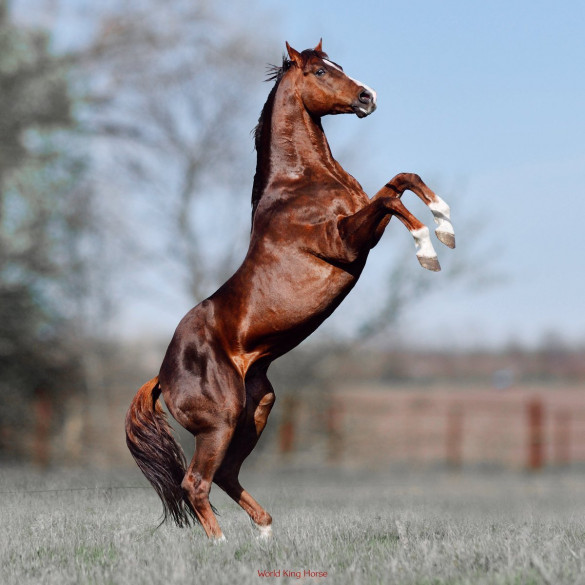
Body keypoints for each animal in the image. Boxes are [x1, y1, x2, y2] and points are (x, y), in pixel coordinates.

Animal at [125, 41, 454, 540]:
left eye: (338, 65)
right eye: (320, 71)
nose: (368, 97)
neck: (300, 185)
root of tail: (162, 376)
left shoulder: (362, 233)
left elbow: (402, 180)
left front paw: (445, 220)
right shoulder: (346, 241)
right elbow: (390, 197)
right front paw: (428, 250)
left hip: (257, 408)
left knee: (226, 475)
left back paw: (265, 534)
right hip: (221, 420)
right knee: (196, 482)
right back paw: (222, 545)